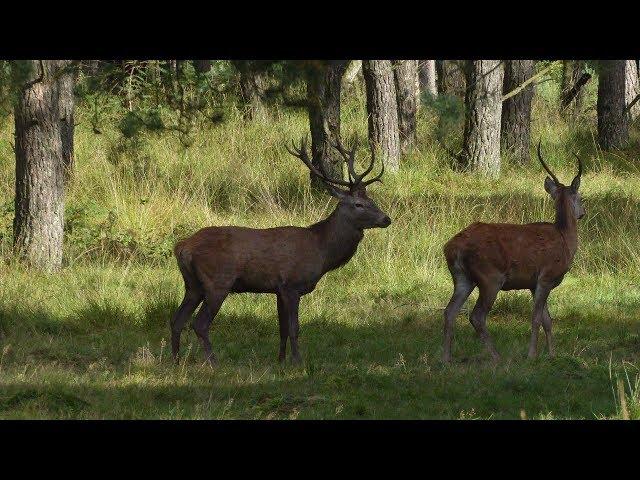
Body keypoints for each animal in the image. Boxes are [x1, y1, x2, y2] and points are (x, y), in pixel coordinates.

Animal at [170, 137, 390, 366]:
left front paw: (281, 360)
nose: (386, 219)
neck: (321, 250)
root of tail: (182, 247)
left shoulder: (278, 290)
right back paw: (213, 363)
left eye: (373, 201)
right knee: (199, 323)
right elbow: (294, 328)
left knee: (176, 320)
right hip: (218, 282)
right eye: (359, 204)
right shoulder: (292, 285)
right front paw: (298, 362)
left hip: (193, 285)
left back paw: (175, 361)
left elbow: (282, 328)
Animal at [442, 142, 584, 364]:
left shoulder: (534, 284)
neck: (564, 239)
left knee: (450, 311)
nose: (582, 213)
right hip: (490, 277)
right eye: (581, 197)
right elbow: (536, 318)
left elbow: (548, 320)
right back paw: (497, 357)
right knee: (476, 316)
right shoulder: (546, 277)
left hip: (462, 277)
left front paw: (552, 354)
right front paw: (532, 355)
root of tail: (451, 248)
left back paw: (446, 359)